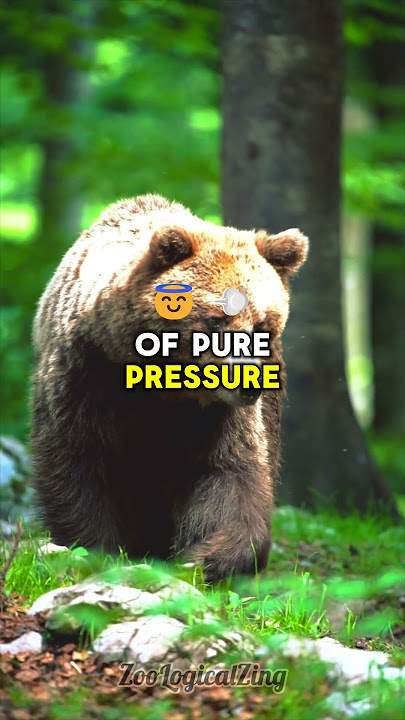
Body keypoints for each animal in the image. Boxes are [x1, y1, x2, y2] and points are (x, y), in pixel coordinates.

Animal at [30, 194, 308, 582]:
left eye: (263, 324)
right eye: (215, 319)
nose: (247, 382)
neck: (164, 390)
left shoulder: (219, 417)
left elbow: (229, 473)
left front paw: (206, 557)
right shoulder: (87, 374)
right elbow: (76, 459)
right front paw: (94, 548)